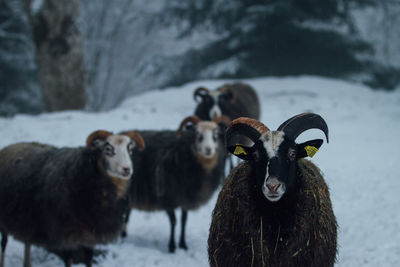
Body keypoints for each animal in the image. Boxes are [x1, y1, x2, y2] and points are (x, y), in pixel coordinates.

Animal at [0, 131, 145, 267]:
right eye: (108, 149)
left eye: (130, 150)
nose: (127, 169)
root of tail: (10, 147)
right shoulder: (65, 234)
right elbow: (69, 259)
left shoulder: (91, 235)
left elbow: (89, 258)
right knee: (4, 243)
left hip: (27, 220)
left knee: (27, 241)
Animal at [122, 115, 230, 253]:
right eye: (198, 134)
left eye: (215, 135)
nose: (208, 149)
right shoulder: (168, 197)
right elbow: (173, 222)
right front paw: (172, 246)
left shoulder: (186, 199)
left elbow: (184, 221)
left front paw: (183, 244)